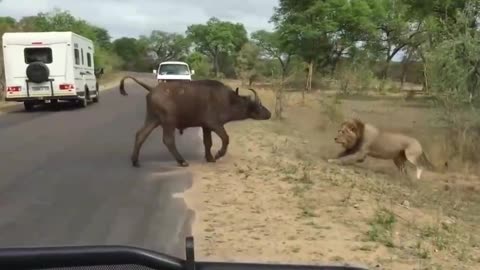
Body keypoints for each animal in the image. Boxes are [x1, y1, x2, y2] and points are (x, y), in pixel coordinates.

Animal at [118, 76, 272, 168]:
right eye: (259, 106)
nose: (269, 114)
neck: (228, 100)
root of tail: (153, 89)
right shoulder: (215, 124)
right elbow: (225, 138)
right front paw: (218, 155)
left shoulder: (205, 127)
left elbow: (208, 142)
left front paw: (209, 158)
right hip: (168, 122)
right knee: (168, 140)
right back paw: (182, 161)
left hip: (152, 119)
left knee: (140, 135)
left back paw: (135, 161)